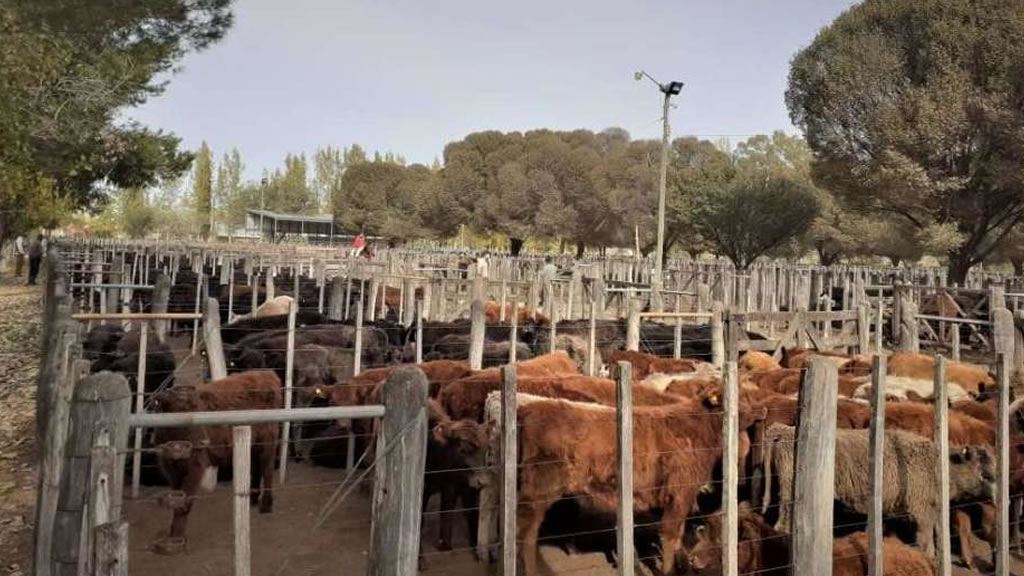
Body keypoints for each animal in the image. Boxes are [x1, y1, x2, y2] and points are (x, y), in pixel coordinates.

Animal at [149, 368, 282, 545]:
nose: (203, 441)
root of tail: (266, 373)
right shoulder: (171, 470)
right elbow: (177, 499)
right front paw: (173, 535)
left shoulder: (195, 467)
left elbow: (185, 501)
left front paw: (177, 537)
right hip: (252, 444)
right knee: (255, 468)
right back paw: (253, 498)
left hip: (267, 441)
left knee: (267, 469)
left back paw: (266, 505)